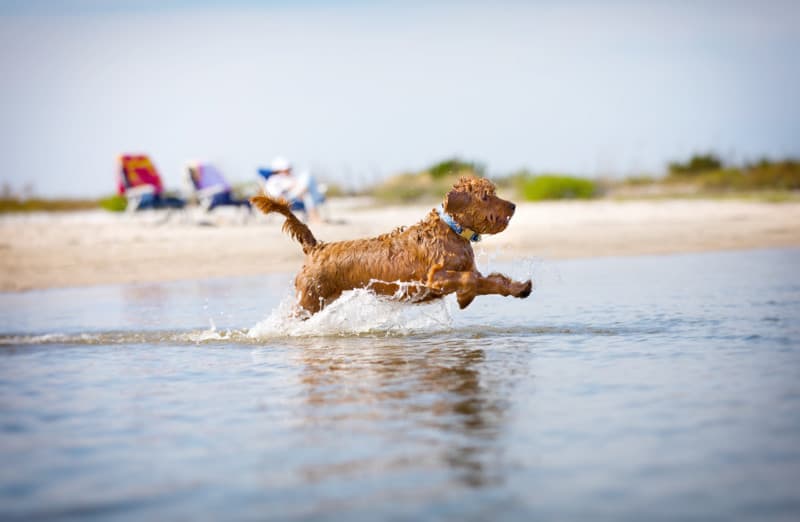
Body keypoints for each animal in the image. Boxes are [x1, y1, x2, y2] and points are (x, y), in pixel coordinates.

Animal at [250, 176, 532, 312]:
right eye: (486, 196)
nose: (513, 205)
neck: (452, 230)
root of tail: (316, 247)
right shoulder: (436, 277)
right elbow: (472, 280)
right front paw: (466, 296)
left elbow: (492, 281)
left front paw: (519, 288)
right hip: (308, 299)